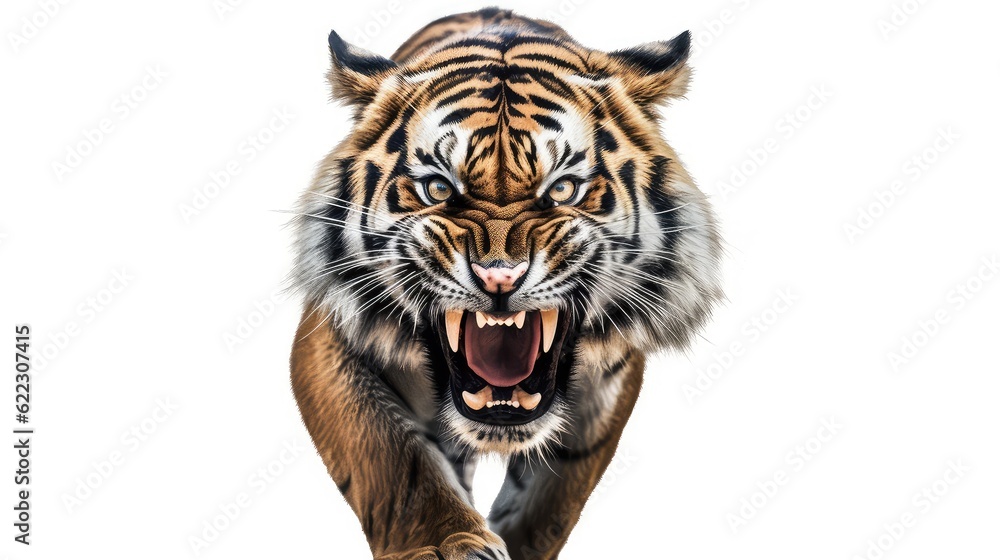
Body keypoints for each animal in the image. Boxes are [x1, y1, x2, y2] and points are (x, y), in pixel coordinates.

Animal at [289, 8, 722, 560]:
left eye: (563, 189)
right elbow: (394, 457)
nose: (499, 276)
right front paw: (448, 543)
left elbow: (548, 499)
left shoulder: (607, 383)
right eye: (438, 188)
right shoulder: (331, 337)